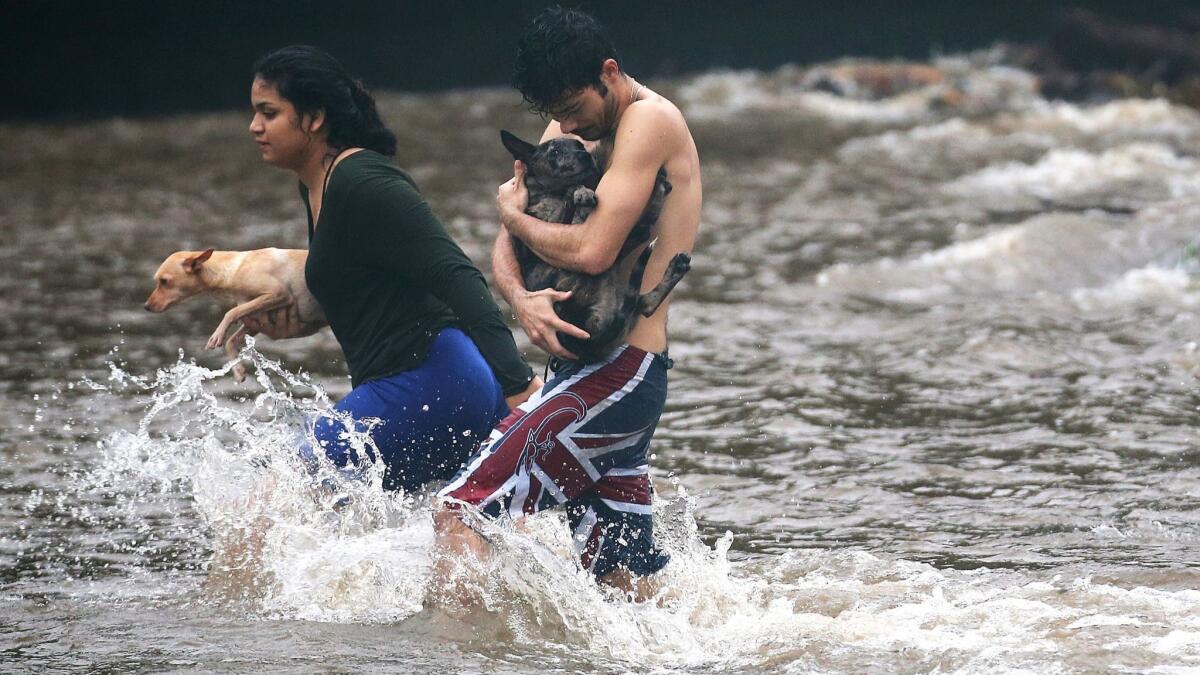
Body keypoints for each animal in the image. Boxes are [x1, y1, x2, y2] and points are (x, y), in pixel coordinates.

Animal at [142, 247, 326, 379]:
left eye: (164, 281)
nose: (146, 306)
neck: (234, 269)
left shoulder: (278, 293)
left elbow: (230, 312)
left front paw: (217, 335)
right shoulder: (256, 320)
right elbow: (231, 341)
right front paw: (238, 370)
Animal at [499, 130, 691, 362]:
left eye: (580, 145)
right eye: (554, 152)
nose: (585, 156)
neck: (550, 193)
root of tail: (587, 344)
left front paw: (582, 192)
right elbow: (571, 192)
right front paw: (581, 193)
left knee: (644, 302)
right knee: (641, 240)